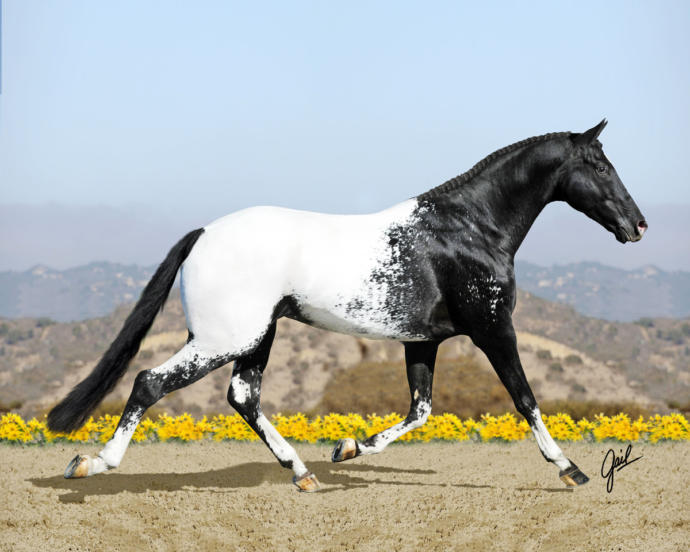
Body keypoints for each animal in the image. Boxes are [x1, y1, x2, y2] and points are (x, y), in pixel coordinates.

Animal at [48, 119, 647, 492]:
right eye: (599, 165)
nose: (637, 224)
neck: (470, 229)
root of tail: (204, 235)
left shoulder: (423, 339)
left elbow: (420, 409)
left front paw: (348, 448)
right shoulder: (494, 328)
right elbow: (525, 399)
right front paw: (571, 470)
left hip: (255, 336)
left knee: (243, 396)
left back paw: (303, 473)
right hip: (225, 338)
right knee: (150, 382)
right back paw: (90, 464)